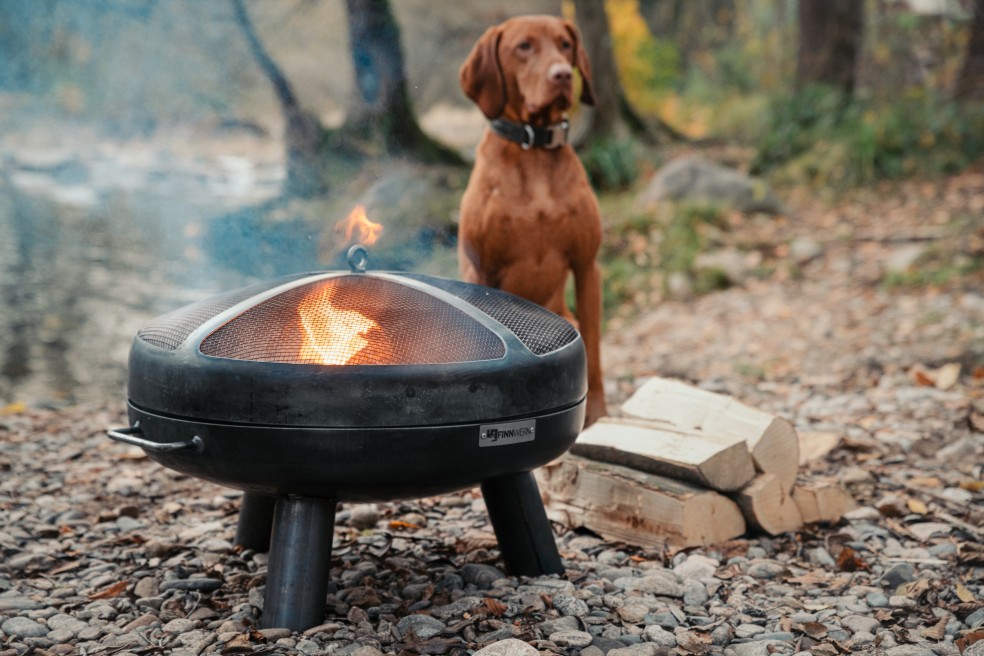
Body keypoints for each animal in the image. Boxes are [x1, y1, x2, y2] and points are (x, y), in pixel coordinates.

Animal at [460, 15, 608, 428]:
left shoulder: (587, 265)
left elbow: (594, 352)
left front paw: (598, 415)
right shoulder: (481, 270)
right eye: (523, 47)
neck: (535, 153)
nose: (562, 75)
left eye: (565, 45)